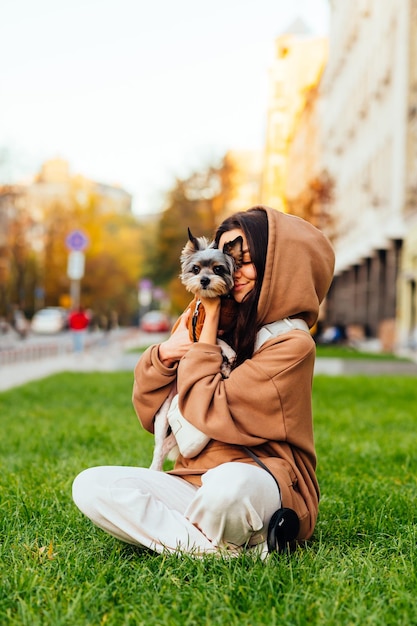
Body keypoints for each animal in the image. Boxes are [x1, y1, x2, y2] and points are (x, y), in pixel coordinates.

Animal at [149, 225, 240, 468]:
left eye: (218, 269)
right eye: (196, 269)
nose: (205, 280)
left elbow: (222, 340)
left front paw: (226, 365)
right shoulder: (193, 332)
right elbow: (216, 340)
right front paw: (228, 352)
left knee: (166, 446)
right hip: (162, 418)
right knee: (158, 448)